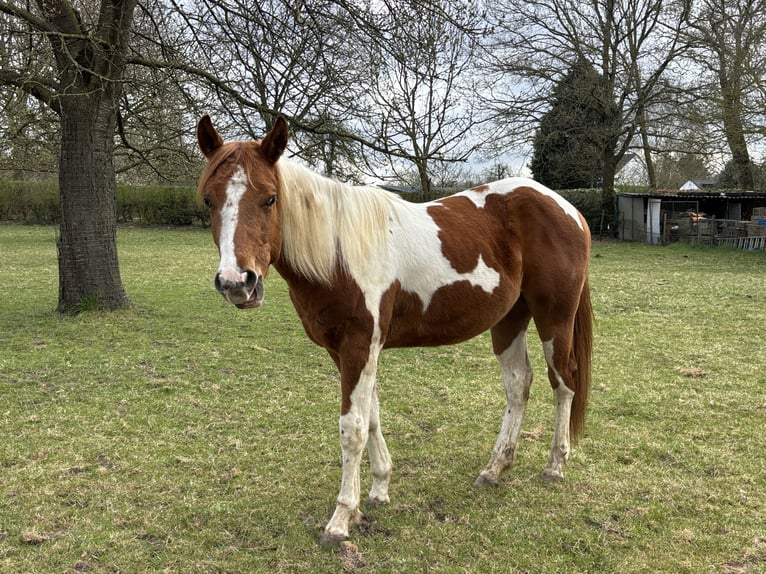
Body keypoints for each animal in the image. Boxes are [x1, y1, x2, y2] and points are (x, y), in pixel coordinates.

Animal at [195, 115, 593, 546]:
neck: (339, 254)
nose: (237, 282)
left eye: (270, 198)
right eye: (209, 201)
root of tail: (568, 209)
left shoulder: (359, 347)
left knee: (564, 382)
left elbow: (351, 428)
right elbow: (371, 417)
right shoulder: (347, 352)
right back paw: (494, 469)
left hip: (555, 318)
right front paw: (378, 489)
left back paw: (555, 465)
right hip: (508, 321)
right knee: (519, 385)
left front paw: (341, 518)